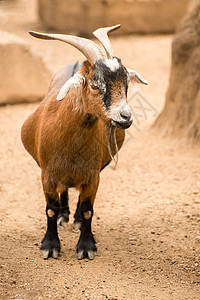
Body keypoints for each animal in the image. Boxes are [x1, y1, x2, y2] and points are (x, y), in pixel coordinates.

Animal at [21, 25, 148, 260]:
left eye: (126, 84)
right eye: (95, 86)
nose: (125, 117)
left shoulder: (93, 176)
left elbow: (89, 210)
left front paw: (86, 246)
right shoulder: (47, 175)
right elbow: (50, 209)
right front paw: (50, 246)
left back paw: (77, 219)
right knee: (64, 190)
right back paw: (64, 216)